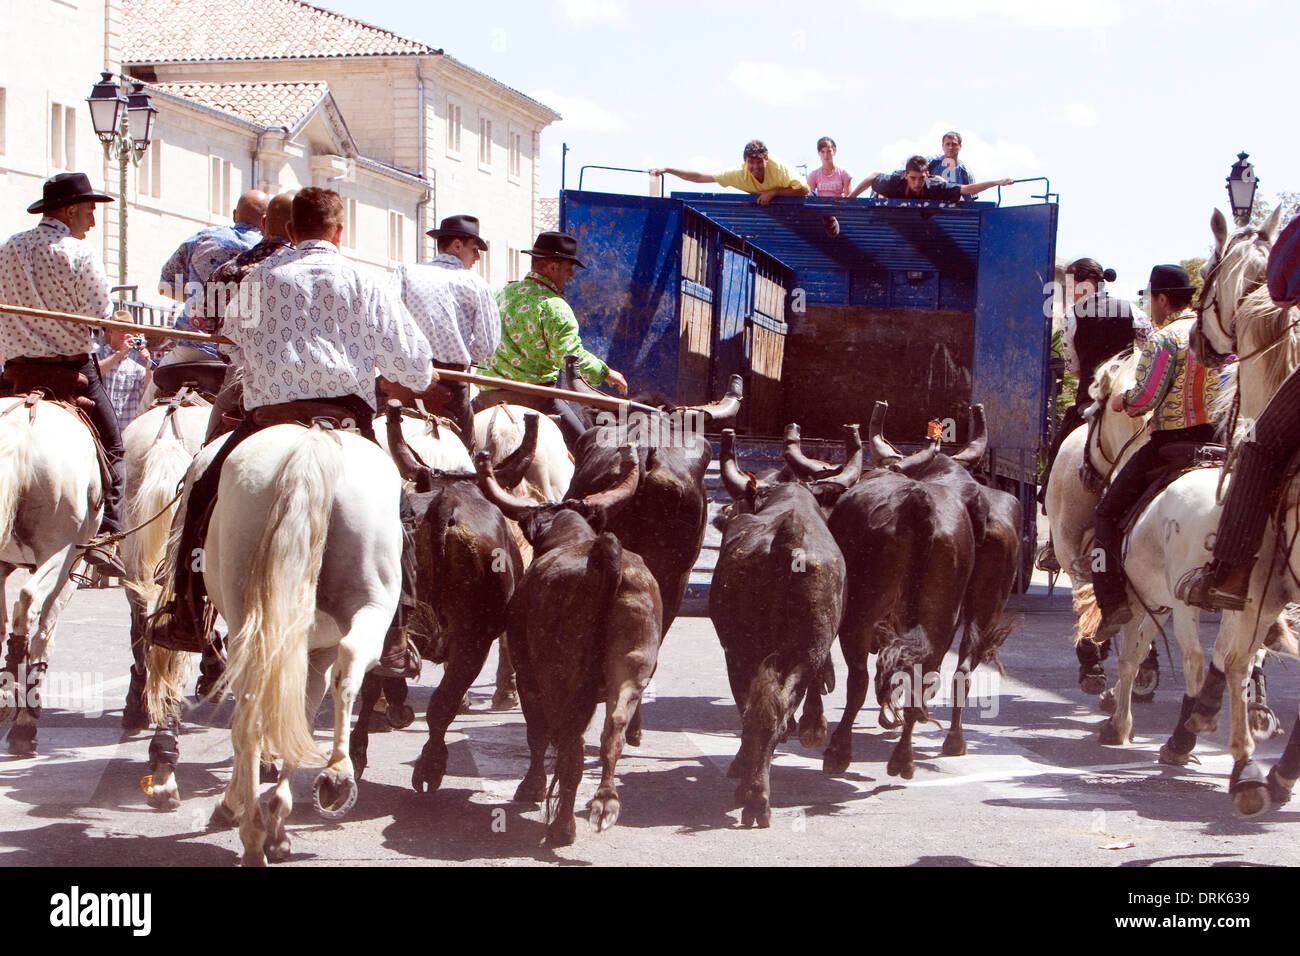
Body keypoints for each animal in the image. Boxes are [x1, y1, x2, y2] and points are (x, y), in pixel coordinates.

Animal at [200, 426, 403, 868]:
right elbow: (302, 713)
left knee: (253, 706)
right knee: (349, 661)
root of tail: (314, 444)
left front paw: (253, 814)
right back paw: (336, 775)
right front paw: (276, 825)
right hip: (370, 603)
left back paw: (254, 831)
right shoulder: (314, 652)